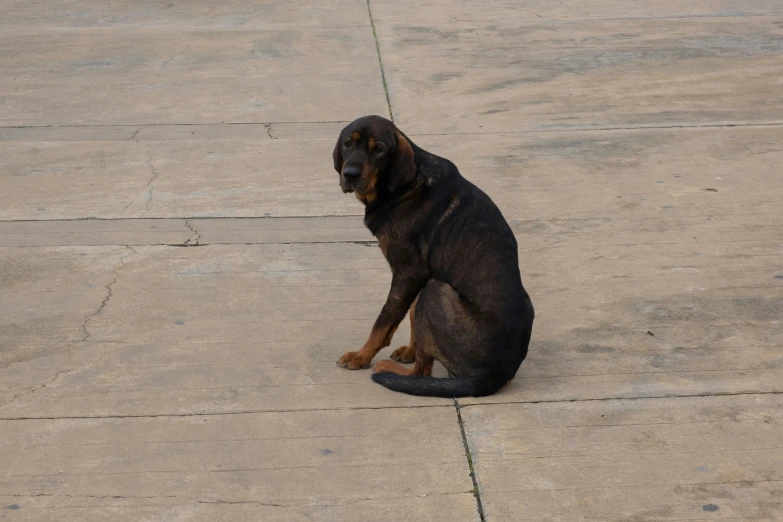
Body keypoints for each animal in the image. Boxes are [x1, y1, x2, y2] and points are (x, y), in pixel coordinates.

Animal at [330, 116, 532, 396]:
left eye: (378, 149)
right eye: (348, 143)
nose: (350, 175)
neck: (400, 187)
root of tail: (498, 374)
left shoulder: (408, 272)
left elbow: (384, 320)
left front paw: (361, 357)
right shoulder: (421, 274)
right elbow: (413, 314)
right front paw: (410, 351)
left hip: (437, 290)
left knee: (422, 372)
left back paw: (390, 370)